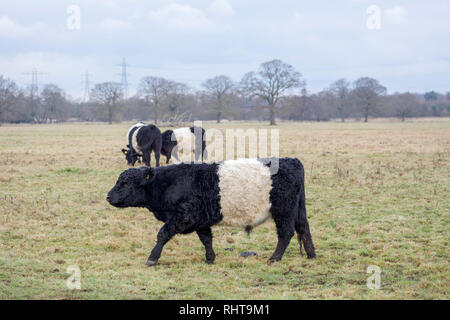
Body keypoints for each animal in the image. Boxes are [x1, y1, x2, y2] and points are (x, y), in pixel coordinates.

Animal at [107, 158, 314, 264]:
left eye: (125, 183)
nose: (108, 196)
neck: (168, 183)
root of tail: (292, 161)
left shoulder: (182, 215)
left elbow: (162, 234)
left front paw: (152, 258)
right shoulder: (200, 219)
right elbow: (206, 239)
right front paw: (210, 258)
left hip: (283, 212)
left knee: (286, 233)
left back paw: (274, 258)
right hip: (297, 210)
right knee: (304, 228)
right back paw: (312, 254)